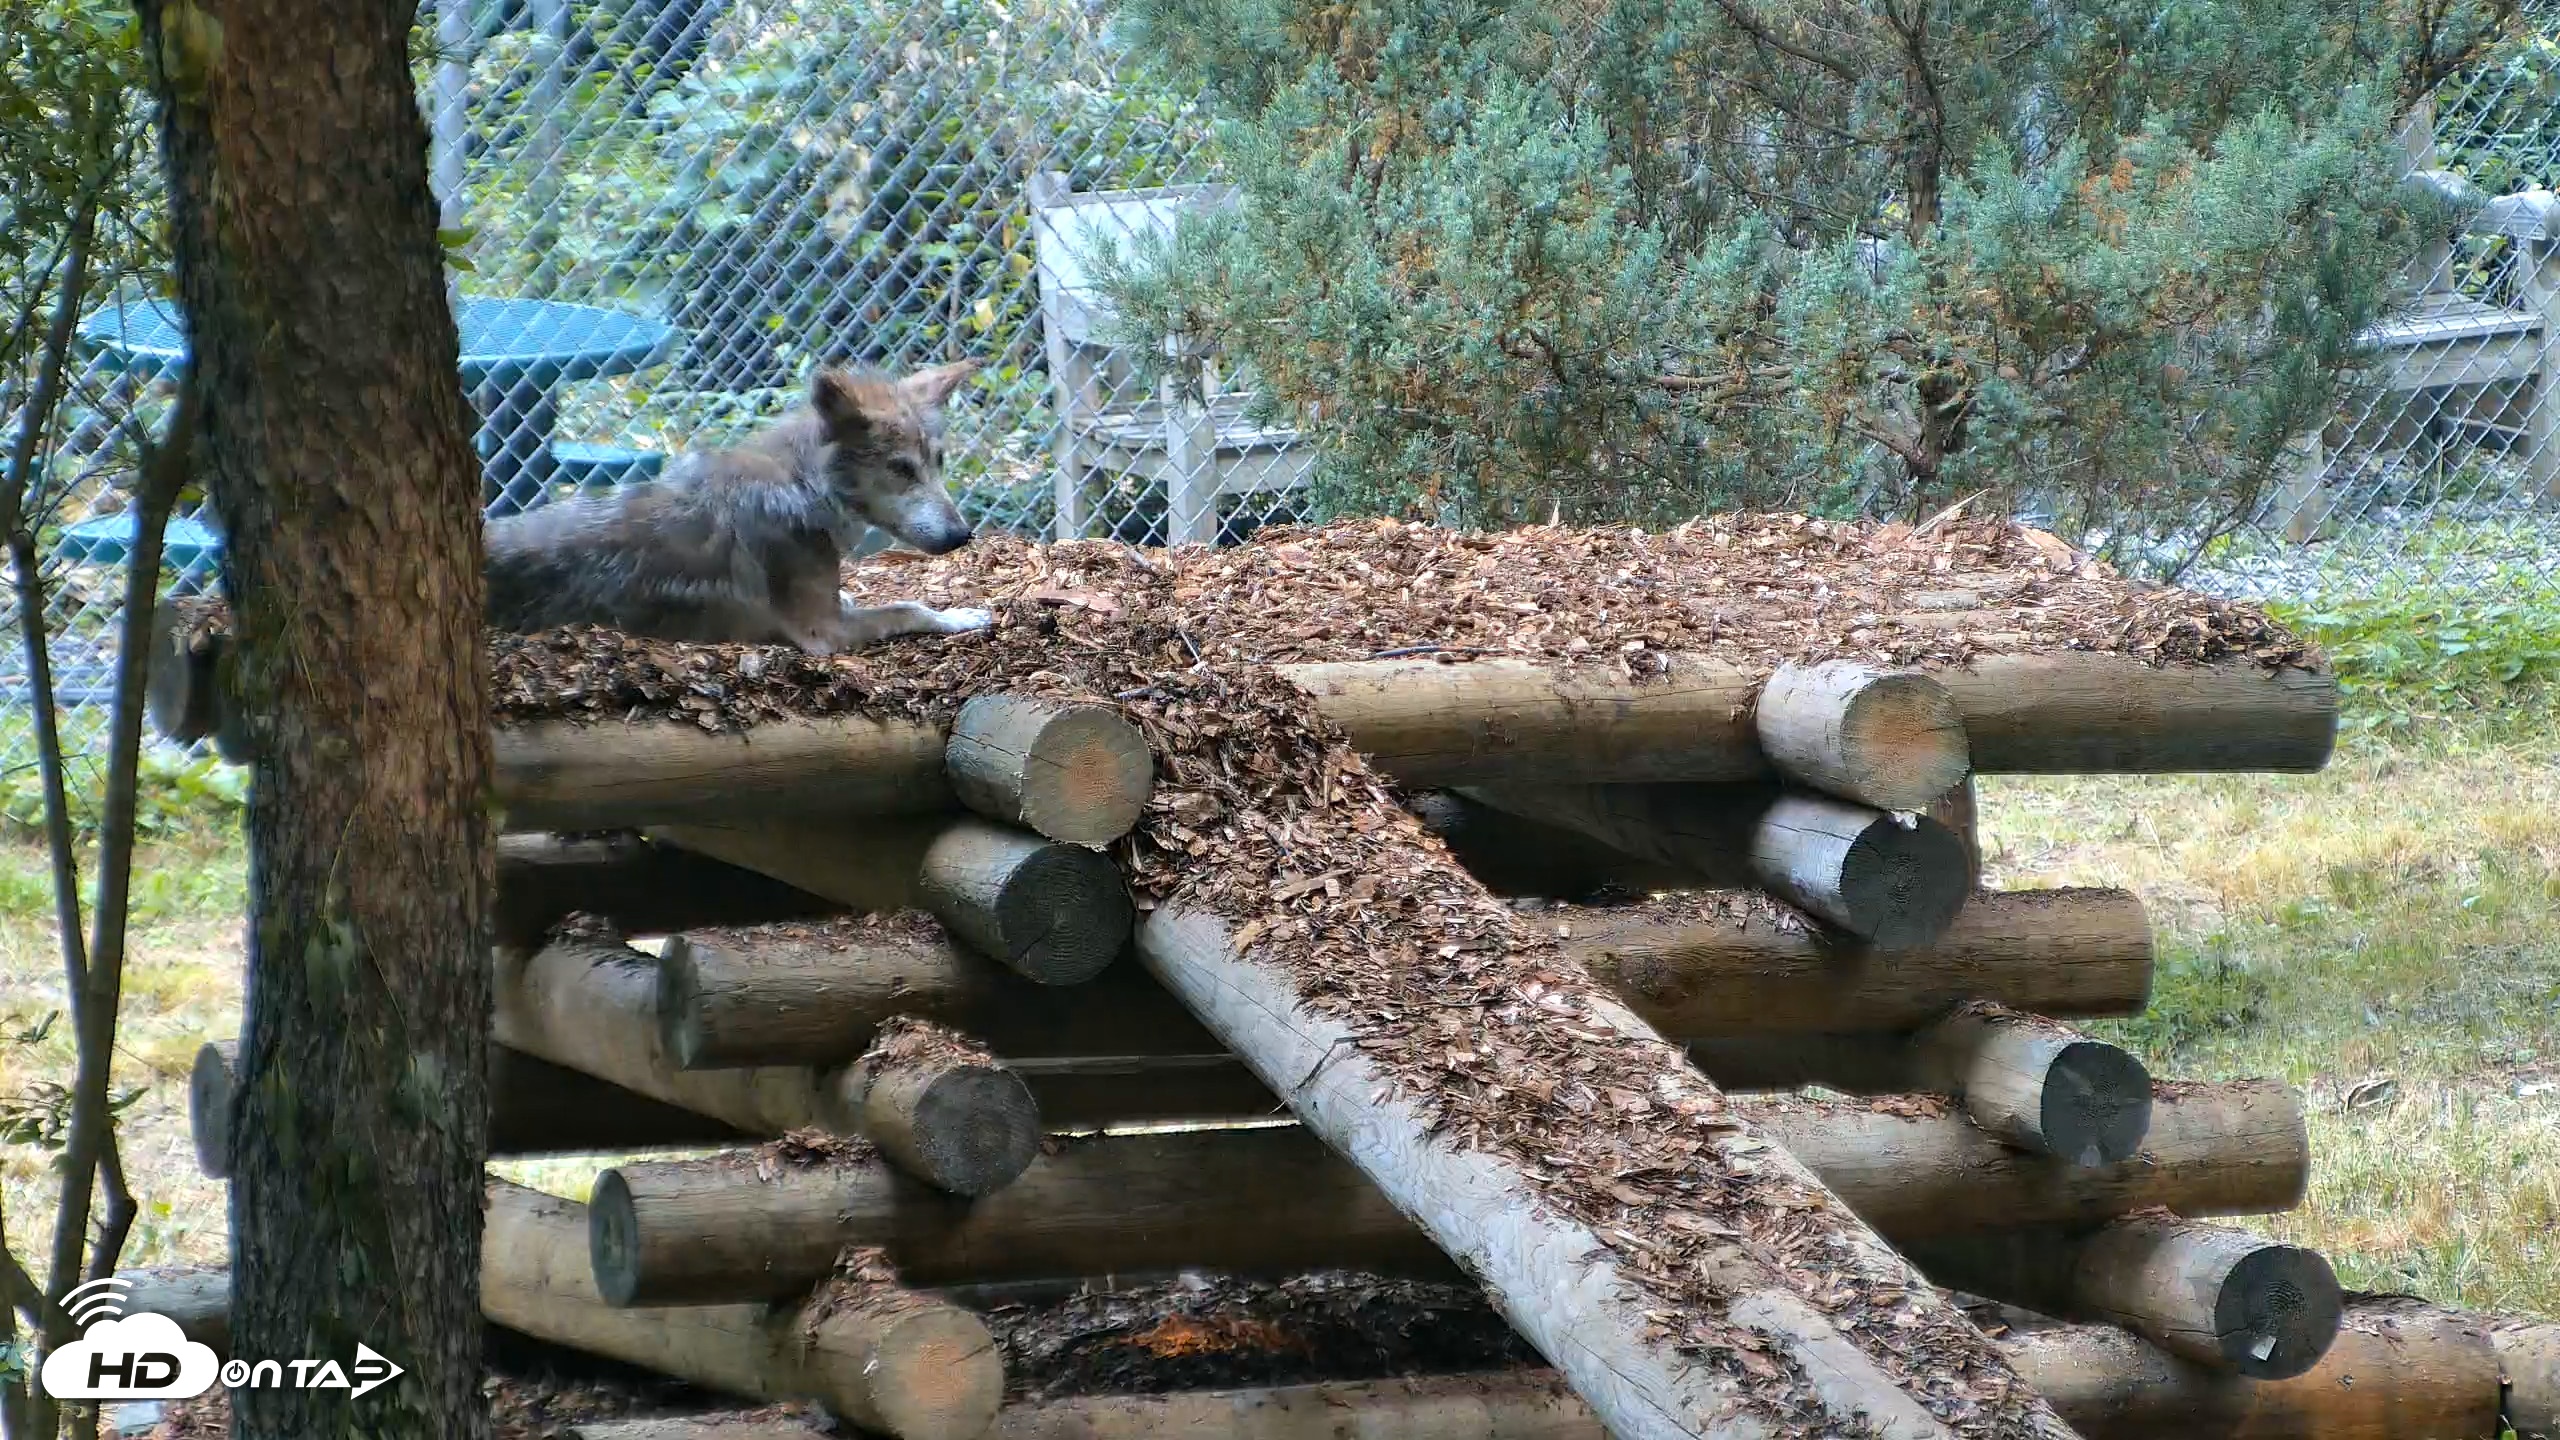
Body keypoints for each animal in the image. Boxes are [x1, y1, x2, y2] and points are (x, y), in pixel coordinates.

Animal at [483, 359, 995, 655]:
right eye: (901, 469)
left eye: (938, 462)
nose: (962, 535)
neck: (802, 485)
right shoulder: (823, 634)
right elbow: (911, 607)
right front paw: (963, 616)